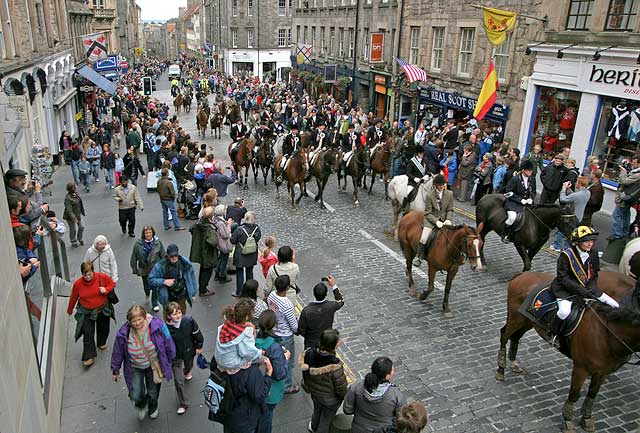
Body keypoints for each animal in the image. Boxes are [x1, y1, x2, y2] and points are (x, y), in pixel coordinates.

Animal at [498, 270, 636, 432]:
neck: (606, 332)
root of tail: (522, 275)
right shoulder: (581, 368)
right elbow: (574, 394)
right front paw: (568, 421)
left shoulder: (602, 371)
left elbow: (592, 394)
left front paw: (586, 419)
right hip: (516, 319)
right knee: (504, 336)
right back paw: (501, 370)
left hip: (526, 321)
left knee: (515, 337)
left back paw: (514, 364)